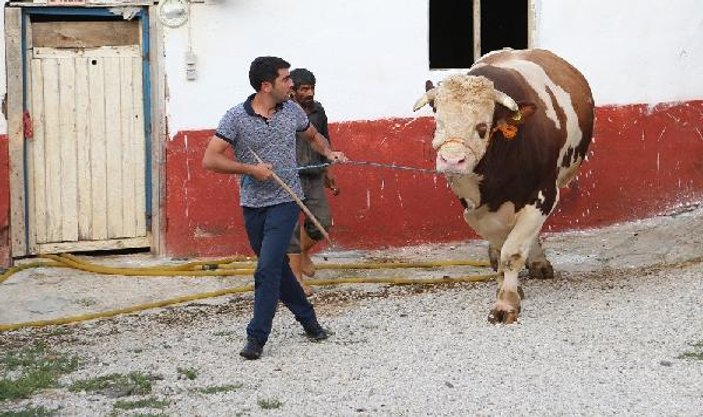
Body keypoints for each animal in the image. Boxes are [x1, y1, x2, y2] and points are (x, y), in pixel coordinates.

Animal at [416, 48, 596, 322]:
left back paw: (539, 263)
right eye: (439, 123)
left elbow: (512, 253)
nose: (452, 161)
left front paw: (506, 304)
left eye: (482, 127)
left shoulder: (543, 195)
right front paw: (508, 286)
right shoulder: (475, 207)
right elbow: (502, 248)